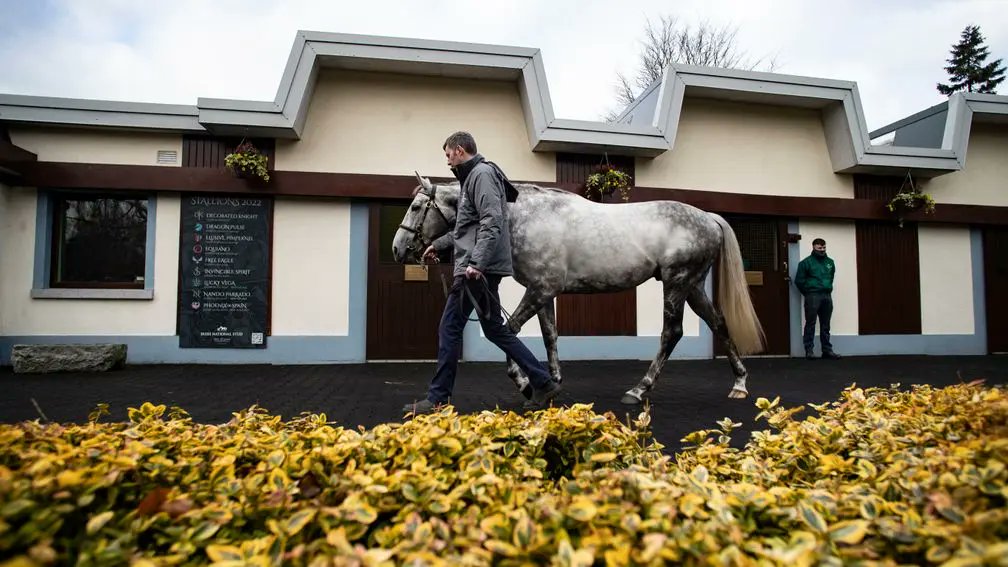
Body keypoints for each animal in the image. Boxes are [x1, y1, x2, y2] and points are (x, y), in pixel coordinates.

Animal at [393, 172, 762, 401]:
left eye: (416, 207)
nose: (399, 248)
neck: (525, 217)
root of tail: (708, 218)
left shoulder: (541, 289)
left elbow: (509, 332)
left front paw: (527, 384)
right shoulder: (544, 293)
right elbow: (549, 335)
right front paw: (552, 381)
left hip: (676, 282)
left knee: (672, 333)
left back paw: (638, 390)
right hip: (693, 286)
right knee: (718, 322)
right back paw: (740, 384)